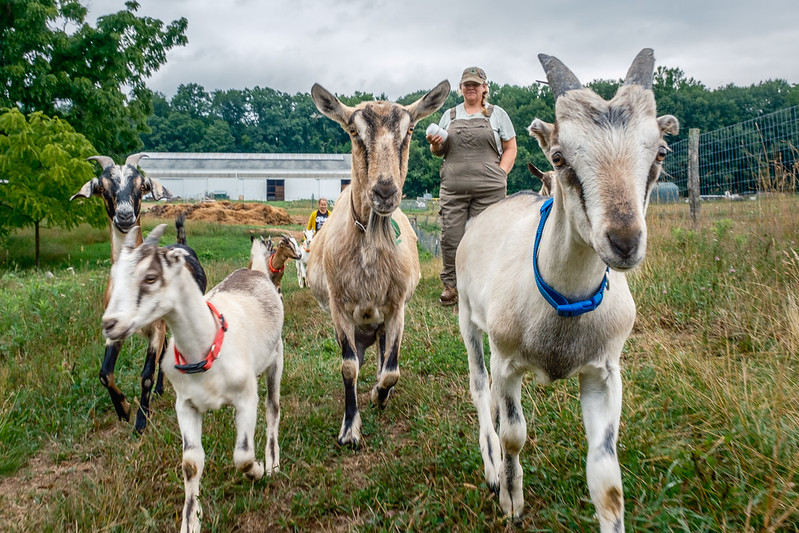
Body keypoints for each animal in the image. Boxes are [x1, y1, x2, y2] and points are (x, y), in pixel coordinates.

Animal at [69, 152, 206, 430]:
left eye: (141, 186)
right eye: (102, 187)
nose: (124, 216)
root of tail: (182, 243)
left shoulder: (157, 327)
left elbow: (146, 375)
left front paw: (141, 423)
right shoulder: (115, 327)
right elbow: (104, 373)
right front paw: (123, 409)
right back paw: (161, 390)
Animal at [101, 224, 284, 532]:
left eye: (150, 277)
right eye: (116, 277)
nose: (110, 324)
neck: (208, 345)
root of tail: (256, 271)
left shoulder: (247, 396)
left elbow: (243, 455)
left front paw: (257, 470)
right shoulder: (185, 405)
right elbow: (191, 463)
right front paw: (191, 520)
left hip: (276, 358)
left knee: (273, 408)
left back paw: (273, 463)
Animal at [308, 79, 450, 444]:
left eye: (410, 129)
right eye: (353, 131)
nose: (385, 191)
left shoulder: (397, 306)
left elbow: (392, 370)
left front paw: (379, 395)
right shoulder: (339, 305)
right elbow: (347, 367)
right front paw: (349, 429)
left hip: (381, 323)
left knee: (383, 355)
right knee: (359, 359)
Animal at [456, 48, 680, 528]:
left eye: (660, 152)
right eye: (559, 158)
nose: (624, 241)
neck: (565, 307)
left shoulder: (604, 373)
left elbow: (607, 477)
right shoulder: (508, 362)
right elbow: (514, 435)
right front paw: (511, 500)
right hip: (467, 317)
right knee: (479, 385)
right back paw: (490, 470)